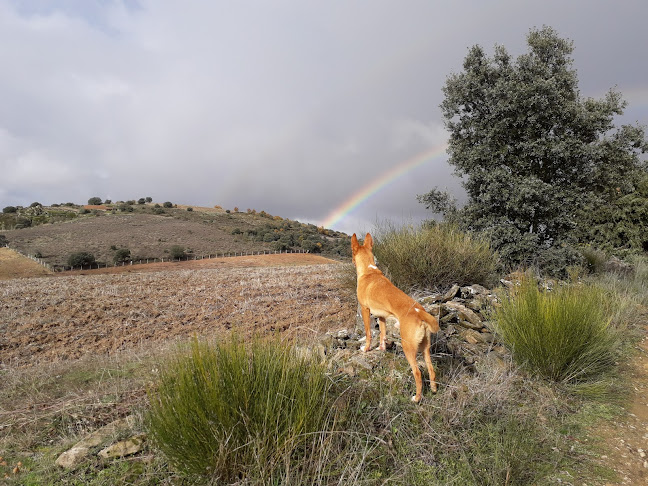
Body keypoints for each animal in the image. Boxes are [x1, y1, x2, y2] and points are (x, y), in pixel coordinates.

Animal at [354, 234, 440, 400]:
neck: (369, 271)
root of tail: (420, 312)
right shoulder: (381, 316)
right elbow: (382, 333)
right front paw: (381, 348)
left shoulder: (365, 310)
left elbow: (368, 333)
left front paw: (366, 348)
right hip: (425, 347)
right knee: (431, 370)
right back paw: (433, 390)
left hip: (408, 347)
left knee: (417, 373)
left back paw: (416, 398)